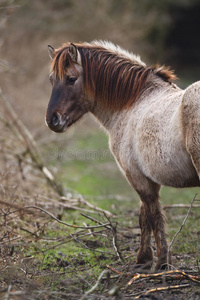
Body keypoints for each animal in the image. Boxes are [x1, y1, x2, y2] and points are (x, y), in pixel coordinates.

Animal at [45, 38, 200, 270]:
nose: (52, 120)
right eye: (52, 80)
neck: (133, 103)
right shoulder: (146, 179)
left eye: (71, 79)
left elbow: (153, 216)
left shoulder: (136, 176)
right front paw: (144, 259)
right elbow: (145, 216)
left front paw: (160, 263)